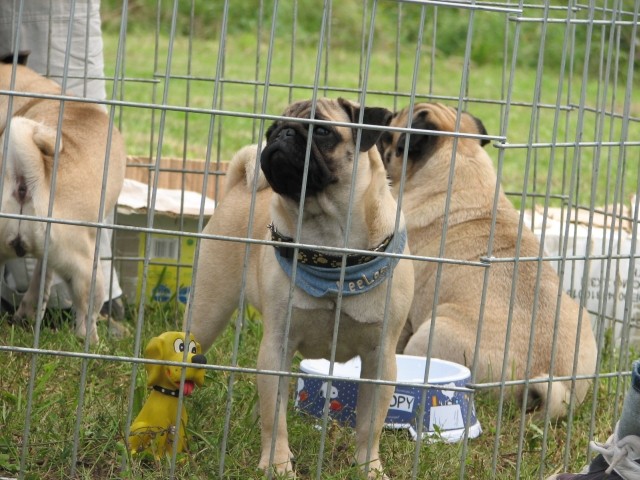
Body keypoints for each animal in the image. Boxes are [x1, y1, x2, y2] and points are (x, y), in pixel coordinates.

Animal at [185, 97, 416, 476]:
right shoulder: (276, 346)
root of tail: (237, 189)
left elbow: (370, 425)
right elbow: (276, 418)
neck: (330, 246)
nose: (284, 134)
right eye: (271, 130)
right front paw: (277, 465)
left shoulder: (380, 358)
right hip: (206, 314)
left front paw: (368, 468)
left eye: (321, 131)